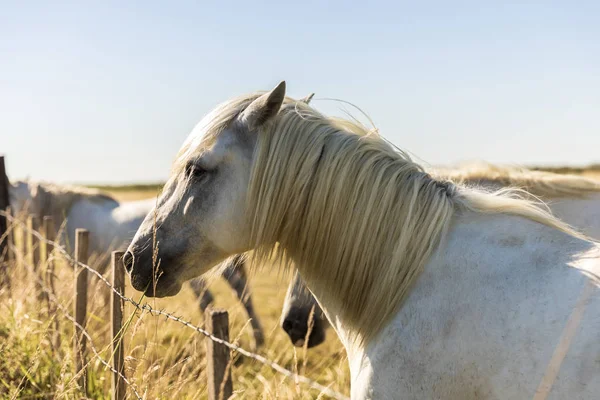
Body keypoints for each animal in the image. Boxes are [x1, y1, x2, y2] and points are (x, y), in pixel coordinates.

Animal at [8, 180, 264, 346]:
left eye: (19, 198)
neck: (71, 210)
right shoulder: (102, 269)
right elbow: (105, 297)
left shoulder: (86, 268)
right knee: (242, 293)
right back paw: (256, 339)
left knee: (216, 298)